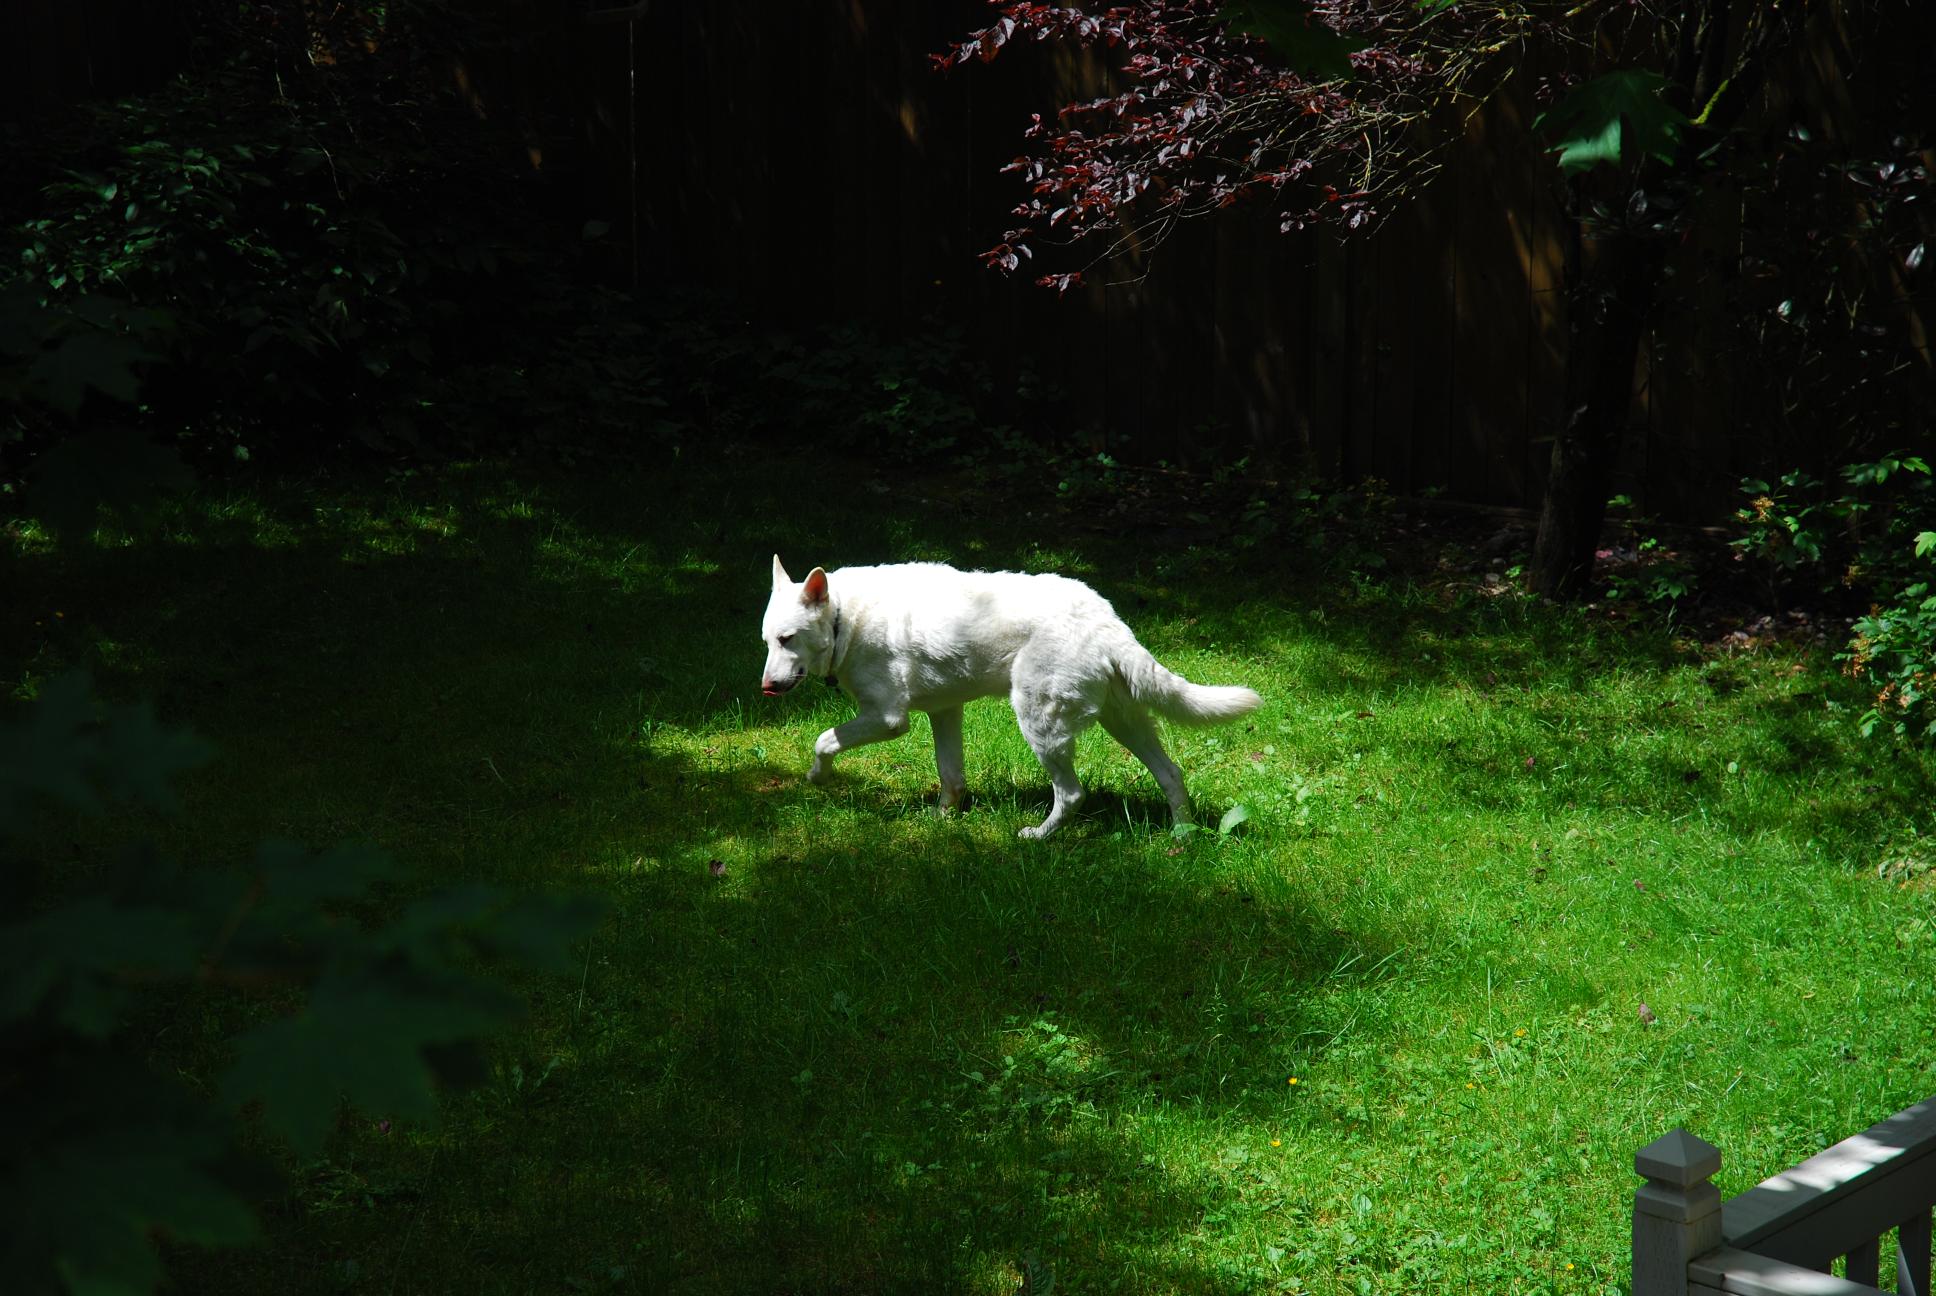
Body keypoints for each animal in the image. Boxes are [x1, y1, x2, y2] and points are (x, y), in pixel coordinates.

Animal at [762, 554, 1262, 840]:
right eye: (767, 642)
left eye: (788, 639)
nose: (766, 687)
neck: (845, 618)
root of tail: (1106, 621)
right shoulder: (945, 712)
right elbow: (952, 777)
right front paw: (942, 821)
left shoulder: (888, 718)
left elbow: (824, 740)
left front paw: (818, 778)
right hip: (1124, 721)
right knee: (1171, 774)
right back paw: (1182, 836)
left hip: (1040, 723)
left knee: (1073, 794)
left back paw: (1039, 836)